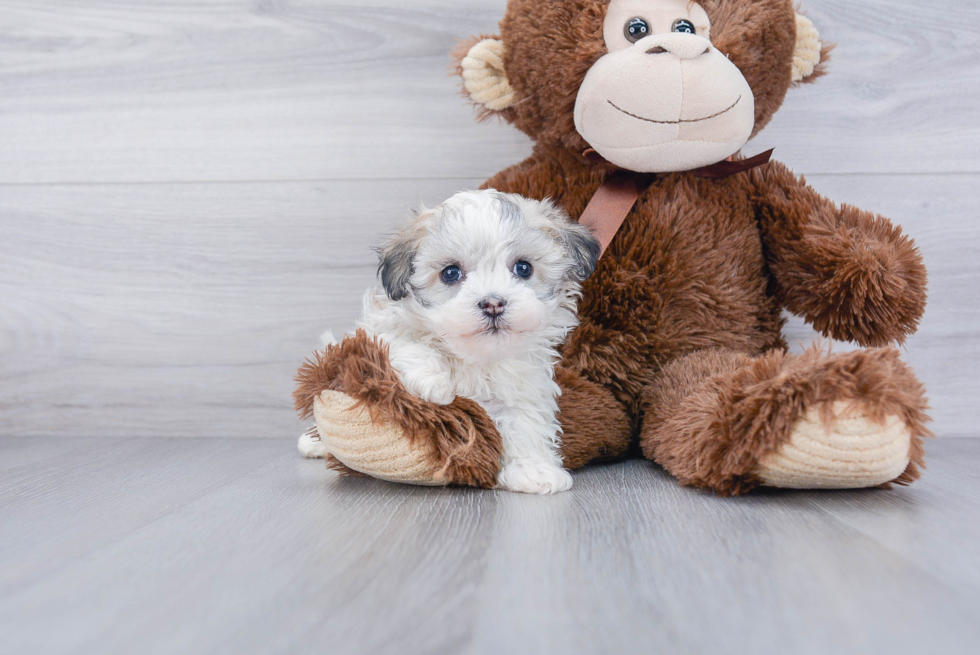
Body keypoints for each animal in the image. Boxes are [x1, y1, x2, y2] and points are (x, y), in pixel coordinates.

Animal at [304, 191, 596, 498]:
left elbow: (525, 421)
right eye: (450, 273)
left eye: (523, 268)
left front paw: (533, 470)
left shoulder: (523, 383)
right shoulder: (376, 330)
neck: (472, 356)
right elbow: (404, 340)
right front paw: (432, 381)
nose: (493, 303)